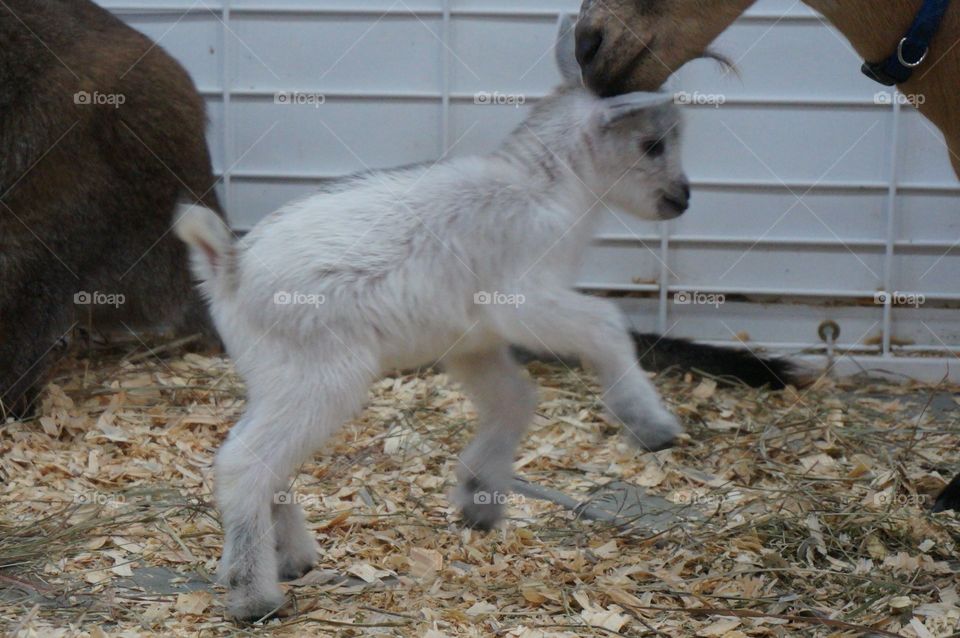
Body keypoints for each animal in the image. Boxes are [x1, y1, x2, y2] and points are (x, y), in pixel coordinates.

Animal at [176, 17, 690, 620]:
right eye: (652, 144)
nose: (682, 199)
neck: (546, 185)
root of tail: (229, 265)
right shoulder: (524, 300)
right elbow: (606, 323)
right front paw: (651, 424)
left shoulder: (474, 342)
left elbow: (515, 398)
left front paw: (478, 499)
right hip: (319, 377)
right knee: (243, 463)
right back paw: (253, 594)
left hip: (273, 377)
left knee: (254, 456)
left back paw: (293, 558)